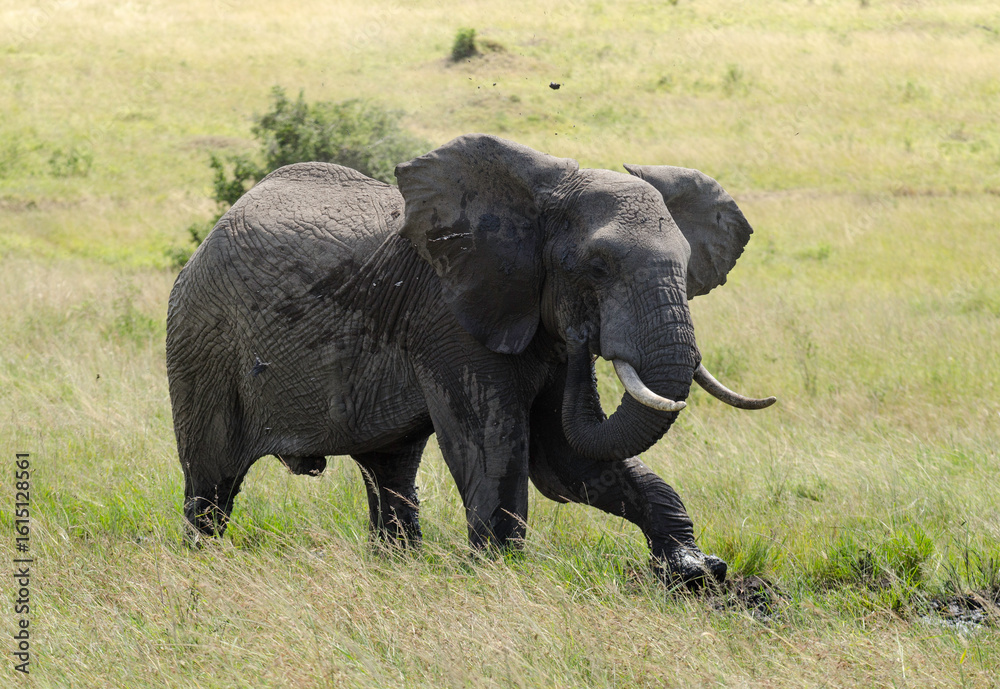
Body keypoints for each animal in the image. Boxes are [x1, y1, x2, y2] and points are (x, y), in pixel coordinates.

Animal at [165, 133, 775, 586]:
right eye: (596, 267)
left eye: (687, 264)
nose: (587, 336)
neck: (534, 201)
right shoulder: (450, 319)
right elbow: (497, 445)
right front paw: (499, 573)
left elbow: (566, 462)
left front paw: (697, 571)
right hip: (200, 341)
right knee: (212, 483)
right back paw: (203, 563)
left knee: (389, 472)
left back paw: (396, 566)